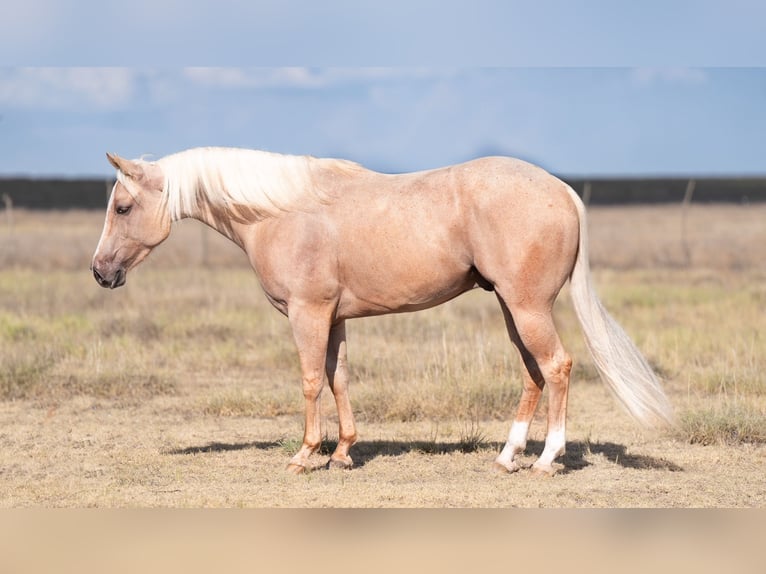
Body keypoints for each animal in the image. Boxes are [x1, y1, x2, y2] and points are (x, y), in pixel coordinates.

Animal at [93, 147, 676, 476]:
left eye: (122, 207)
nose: (101, 272)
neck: (280, 211)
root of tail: (562, 190)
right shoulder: (335, 318)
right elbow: (339, 379)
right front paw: (343, 453)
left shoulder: (308, 315)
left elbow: (311, 380)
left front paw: (306, 455)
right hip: (514, 309)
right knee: (533, 374)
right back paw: (508, 457)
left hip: (527, 307)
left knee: (556, 368)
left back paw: (547, 461)